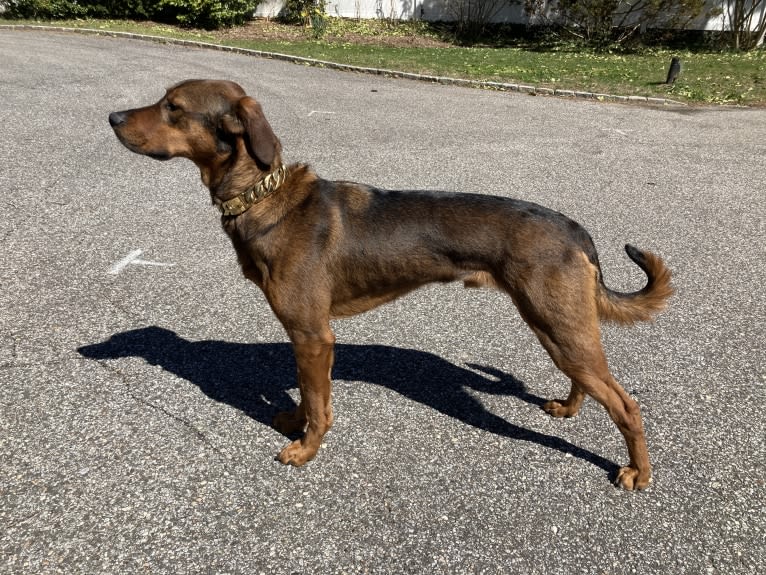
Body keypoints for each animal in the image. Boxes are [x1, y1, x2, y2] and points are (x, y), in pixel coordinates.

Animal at [108, 77, 672, 490]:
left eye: (173, 107)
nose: (112, 118)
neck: (262, 196)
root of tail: (575, 228)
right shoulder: (304, 338)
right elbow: (307, 396)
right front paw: (294, 421)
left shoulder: (314, 335)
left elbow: (320, 405)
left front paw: (306, 449)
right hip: (557, 325)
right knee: (589, 380)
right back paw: (568, 409)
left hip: (555, 323)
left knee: (626, 404)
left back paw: (638, 473)